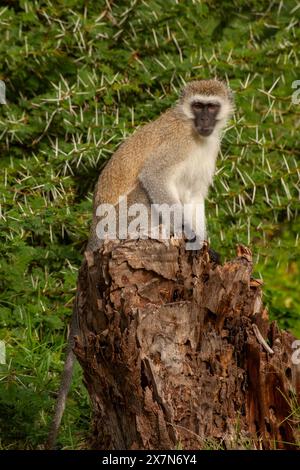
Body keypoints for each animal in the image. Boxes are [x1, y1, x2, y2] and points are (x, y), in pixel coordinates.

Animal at [47, 78, 234, 448]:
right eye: (198, 107)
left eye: (212, 107)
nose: (205, 121)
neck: (195, 134)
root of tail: (95, 230)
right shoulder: (177, 143)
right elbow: (155, 177)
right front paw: (189, 236)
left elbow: (194, 197)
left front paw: (207, 246)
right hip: (119, 221)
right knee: (144, 193)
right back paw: (154, 232)